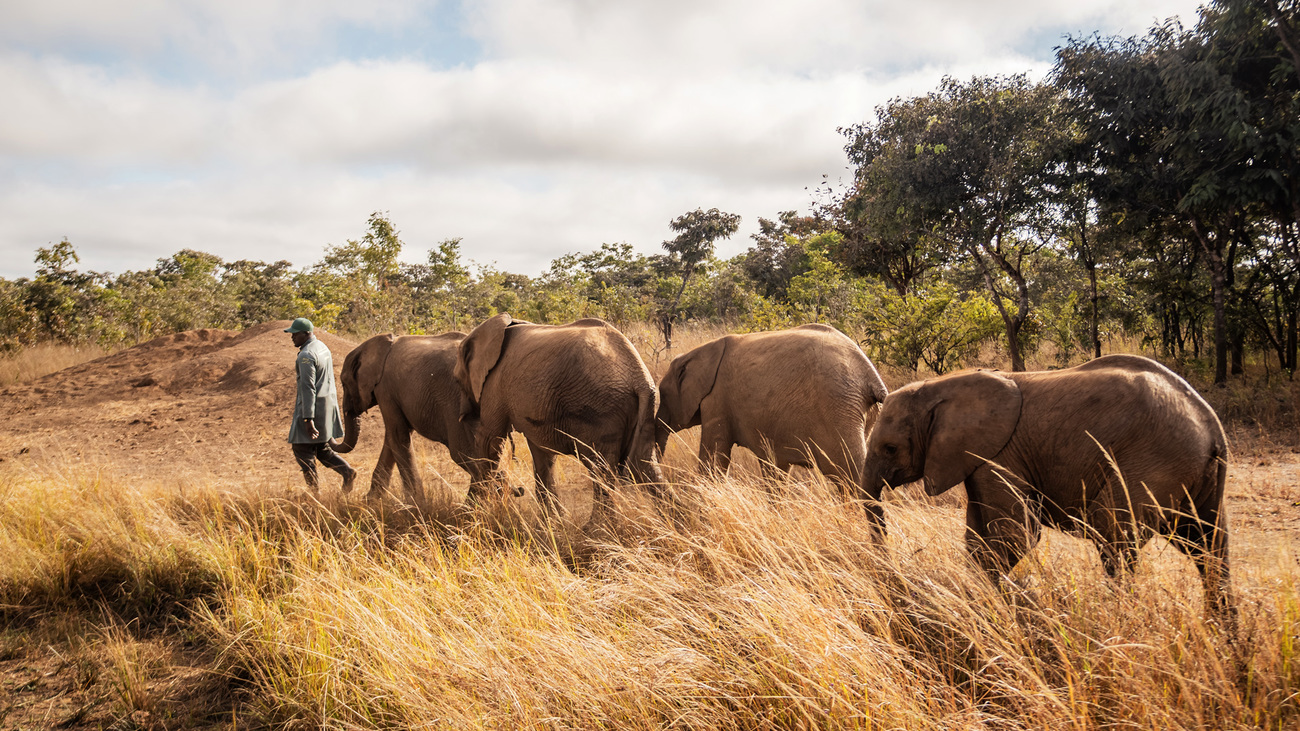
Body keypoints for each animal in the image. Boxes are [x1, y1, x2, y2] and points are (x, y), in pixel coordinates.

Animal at [331, 332, 496, 504]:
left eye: (343, 383)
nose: (331, 437)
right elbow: (392, 438)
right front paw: (371, 501)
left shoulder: (385, 389)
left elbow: (397, 435)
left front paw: (415, 503)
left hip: (456, 402)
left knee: (463, 454)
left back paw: (472, 506)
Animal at [455, 313, 667, 517]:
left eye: (457, 380)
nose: (463, 415)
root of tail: (640, 378)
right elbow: (541, 454)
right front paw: (553, 519)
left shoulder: (494, 383)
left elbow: (488, 442)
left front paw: (467, 514)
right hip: (640, 410)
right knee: (644, 466)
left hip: (602, 409)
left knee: (601, 470)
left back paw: (596, 527)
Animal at [655, 323, 889, 489]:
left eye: (663, 395)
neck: (698, 352)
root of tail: (871, 376)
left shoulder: (716, 401)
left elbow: (713, 461)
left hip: (838, 408)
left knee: (848, 474)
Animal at [859, 354, 1232, 618]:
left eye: (890, 448)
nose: (891, 574)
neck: (938, 387)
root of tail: (1212, 428)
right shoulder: (981, 460)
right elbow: (978, 536)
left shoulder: (1000, 454)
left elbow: (1018, 533)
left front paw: (994, 602)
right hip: (1196, 477)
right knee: (1209, 547)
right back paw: (1225, 640)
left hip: (1153, 462)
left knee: (1113, 534)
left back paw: (1116, 621)